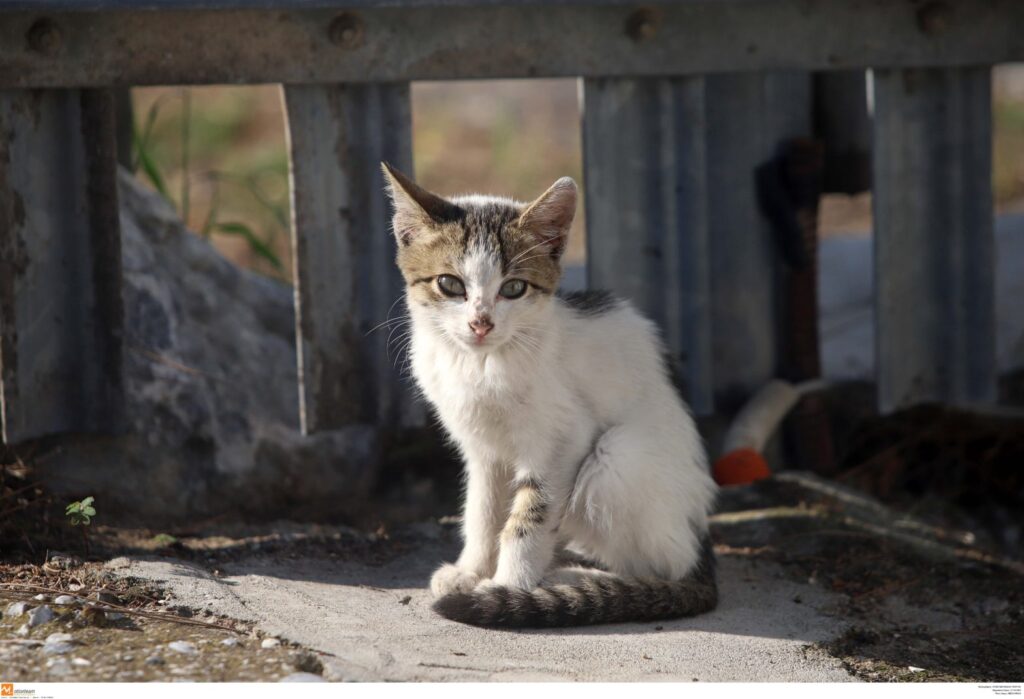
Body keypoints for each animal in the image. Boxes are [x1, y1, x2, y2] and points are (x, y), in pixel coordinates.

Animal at [380, 163, 716, 630]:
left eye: (513, 289)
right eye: (449, 284)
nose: (481, 323)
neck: (481, 364)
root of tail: (701, 535)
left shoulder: (563, 440)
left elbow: (529, 518)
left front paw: (508, 588)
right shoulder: (481, 449)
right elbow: (482, 510)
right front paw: (471, 570)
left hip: (615, 459)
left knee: (663, 565)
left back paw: (573, 579)